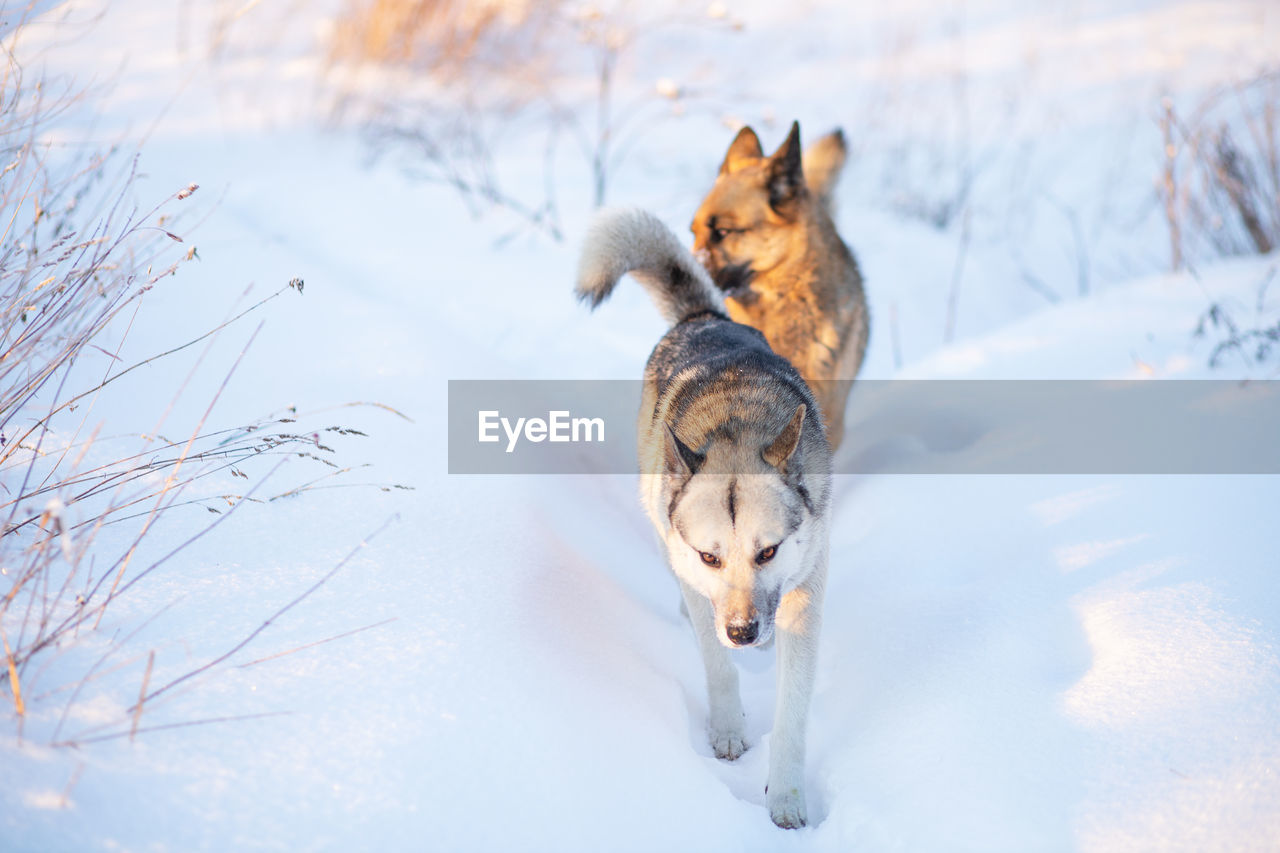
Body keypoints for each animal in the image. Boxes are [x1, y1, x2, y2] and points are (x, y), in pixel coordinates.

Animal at [576, 206, 834, 824]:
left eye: (768, 551)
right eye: (709, 557)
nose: (743, 631)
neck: (738, 429)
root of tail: (704, 318)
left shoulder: (805, 590)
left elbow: (792, 713)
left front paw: (786, 796)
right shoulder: (700, 585)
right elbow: (716, 665)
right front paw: (728, 730)